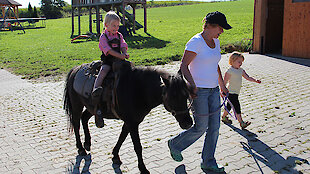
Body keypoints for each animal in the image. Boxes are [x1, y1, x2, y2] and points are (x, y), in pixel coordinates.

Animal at [64, 61, 193, 173]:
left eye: (186, 95)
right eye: (173, 96)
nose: (188, 123)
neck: (138, 89)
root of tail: (75, 69)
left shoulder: (130, 122)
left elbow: (122, 137)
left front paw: (115, 155)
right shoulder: (132, 123)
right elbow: (137, 146)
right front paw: (143, 168)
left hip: (91, 107)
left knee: (84, 118)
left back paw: (87, 143)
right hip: (76, 105)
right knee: (76, 123)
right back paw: (81, 148)